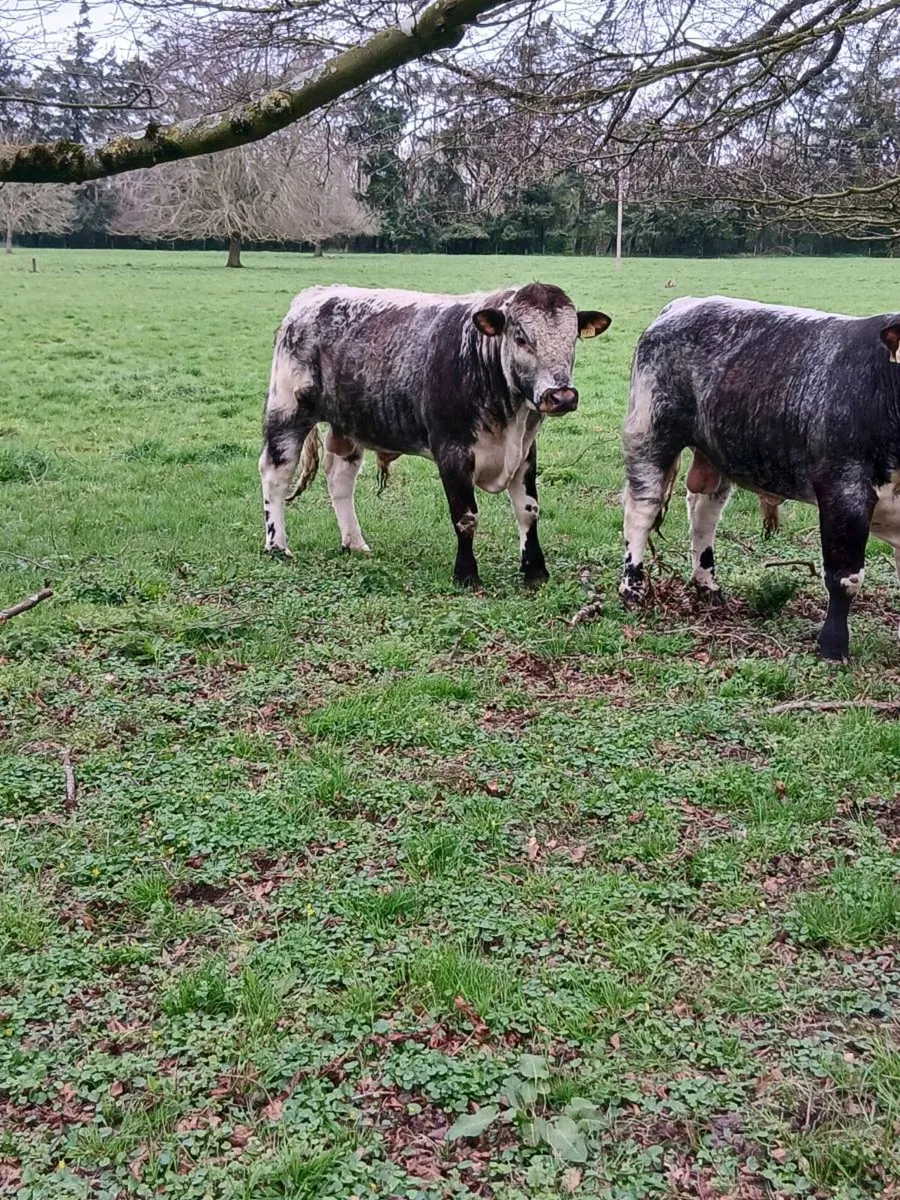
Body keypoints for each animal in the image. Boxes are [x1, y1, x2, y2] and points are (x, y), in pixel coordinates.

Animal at [259, 284, 610, 588]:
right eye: (521, 337)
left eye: (572, 338)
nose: (561, 396)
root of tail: (314, 295)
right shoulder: (452, 451)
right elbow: (466, 517)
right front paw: (467, 575)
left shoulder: (525, 451)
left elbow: (528, 511)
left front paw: (535, 571)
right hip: (287, 412)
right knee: (275, 474)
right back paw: (278, 546)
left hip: (349, 424)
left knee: (340, 478)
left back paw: (355, 542)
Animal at [619, 295, 900, 663]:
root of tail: (685, 304)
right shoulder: (844, 489)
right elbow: (844, 578)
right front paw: (833, 647)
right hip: (651, 433)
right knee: (642, 508)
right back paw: (632, 588)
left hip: (716, 452)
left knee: (703, 513)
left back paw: (707, 585)